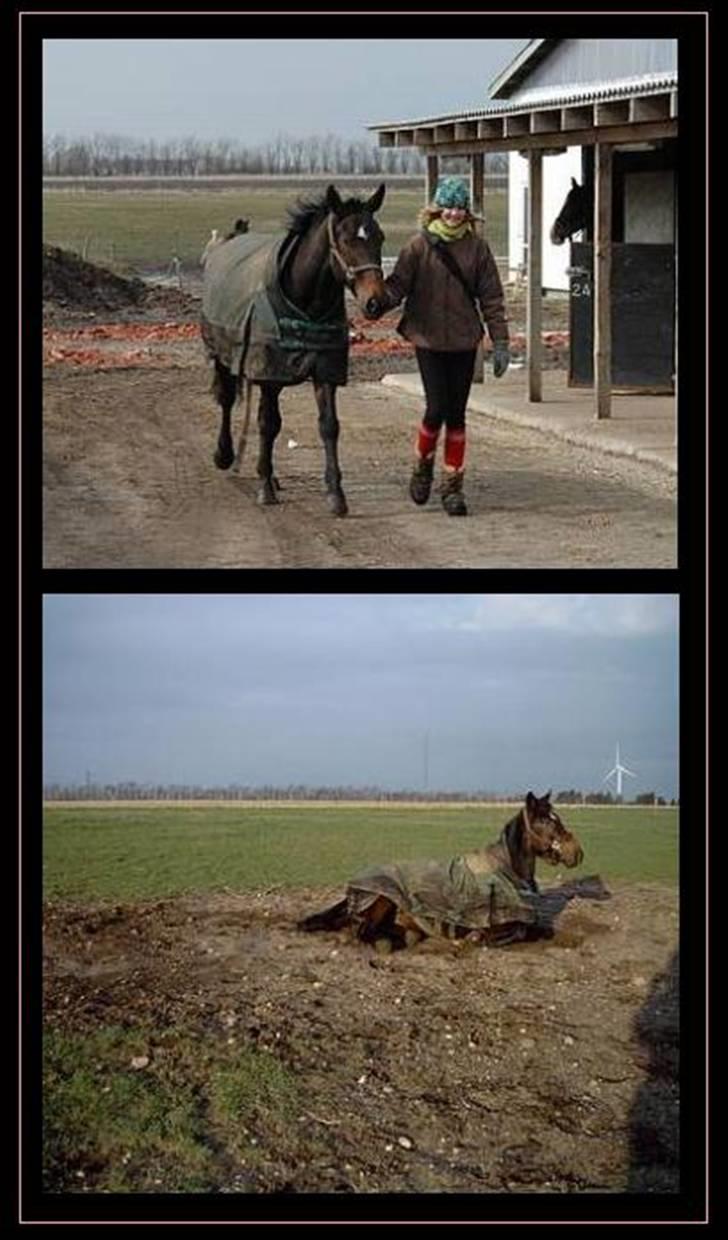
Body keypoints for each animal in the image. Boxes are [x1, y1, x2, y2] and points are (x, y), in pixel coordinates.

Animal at [198, 181, 386, 515]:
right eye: (346, 239)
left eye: (379, 236)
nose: (376, 302)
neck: (305, 304)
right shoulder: (268, 372)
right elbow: (268, 423)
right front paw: (264, 485)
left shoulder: (325, 370)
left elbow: (328, 426)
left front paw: (336, 494)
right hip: (223, 354)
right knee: (228, 399)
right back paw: (226, 455)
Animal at [296, 788, 610, 952]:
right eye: (545, 821)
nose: (576, 852)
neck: (505, 868)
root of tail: (356, 882)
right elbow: (518, 931)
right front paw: (474, 938)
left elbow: (538, 928)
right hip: (382, 900)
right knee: (362, 932)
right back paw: (390, 942)